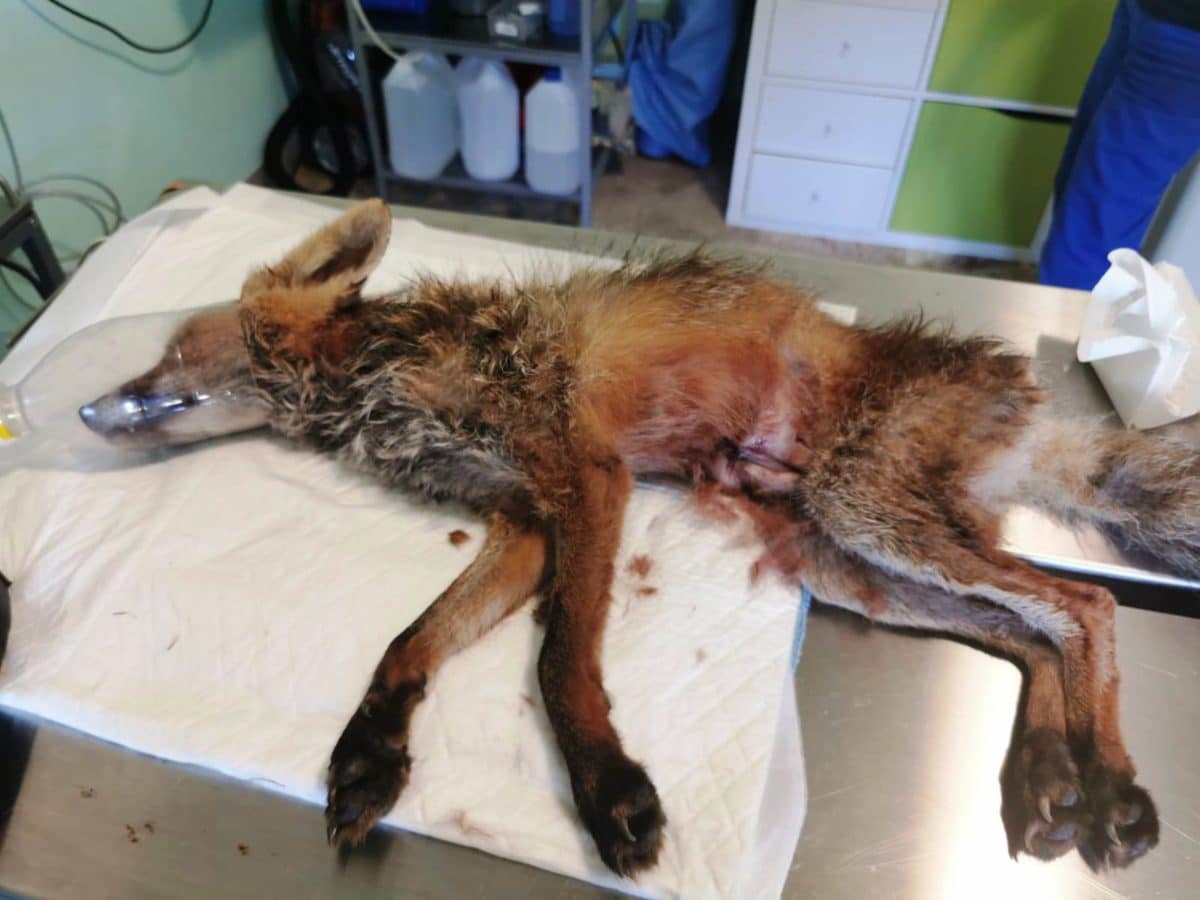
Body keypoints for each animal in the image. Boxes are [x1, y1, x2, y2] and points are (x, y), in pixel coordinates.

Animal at [80, 198, 1200, 877]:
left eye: (169, 352)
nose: (91, 408)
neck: (382, 378)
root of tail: (1033, 411)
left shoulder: (585, 477)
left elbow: (558, 657)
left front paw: (607, 787)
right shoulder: (524, 520)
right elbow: (412, 642)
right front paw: (367, 755)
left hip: (868, 513)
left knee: (1085, 602)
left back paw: (1113, 790)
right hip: (852, 564)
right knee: (1030, 632)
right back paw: (1051, 777)